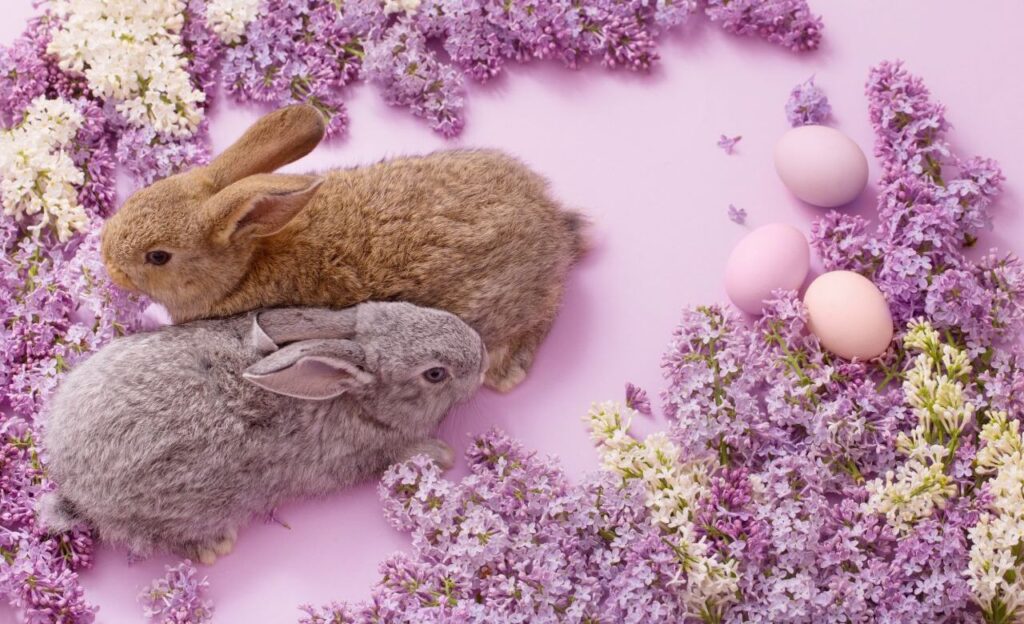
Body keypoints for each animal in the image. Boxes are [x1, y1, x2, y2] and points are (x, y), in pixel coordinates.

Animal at [39, 301, 486, 565]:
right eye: (435, 374)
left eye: (412, 307)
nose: (481, 354)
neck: (358, 400)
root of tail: (78, 491)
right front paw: (441, 453)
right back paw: (214, 547)